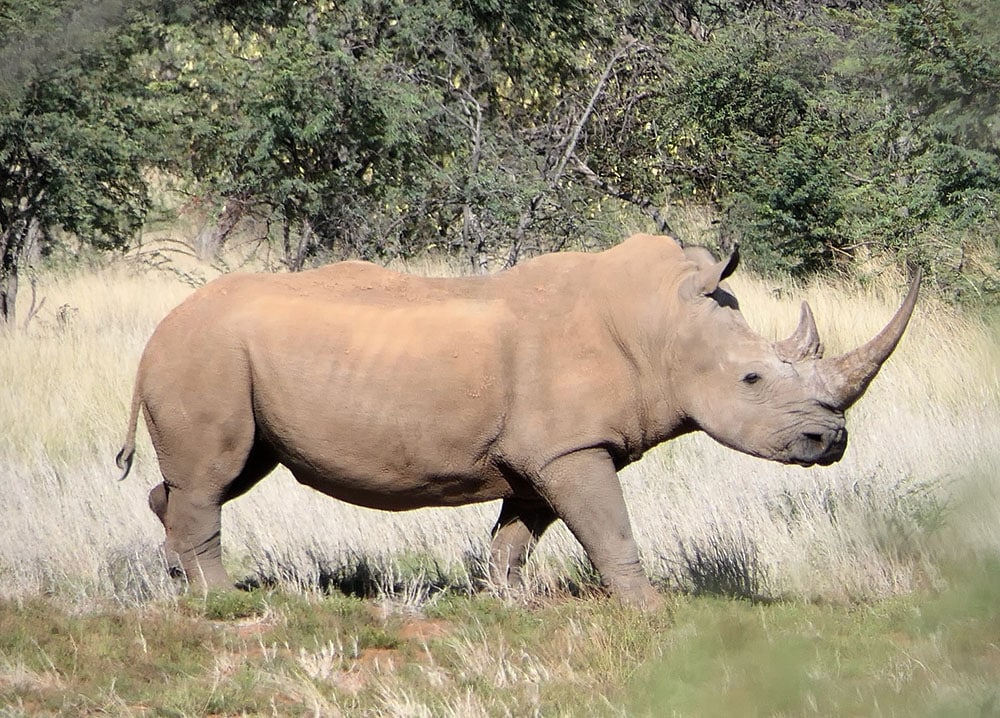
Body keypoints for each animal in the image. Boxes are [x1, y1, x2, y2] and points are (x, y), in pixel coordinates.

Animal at [117, 234, 920, 607]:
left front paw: (505, 599)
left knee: (219, 475)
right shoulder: (573, 448)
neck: (662, 328)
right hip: (207, 354)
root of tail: (157, 330)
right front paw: (650, 606)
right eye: (753, 378)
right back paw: (223, 597)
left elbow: (519, 533)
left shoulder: (549, 450)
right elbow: (609, 527)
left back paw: (177, 578)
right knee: (214, 476)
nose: (832, 441)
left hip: (218, 358)